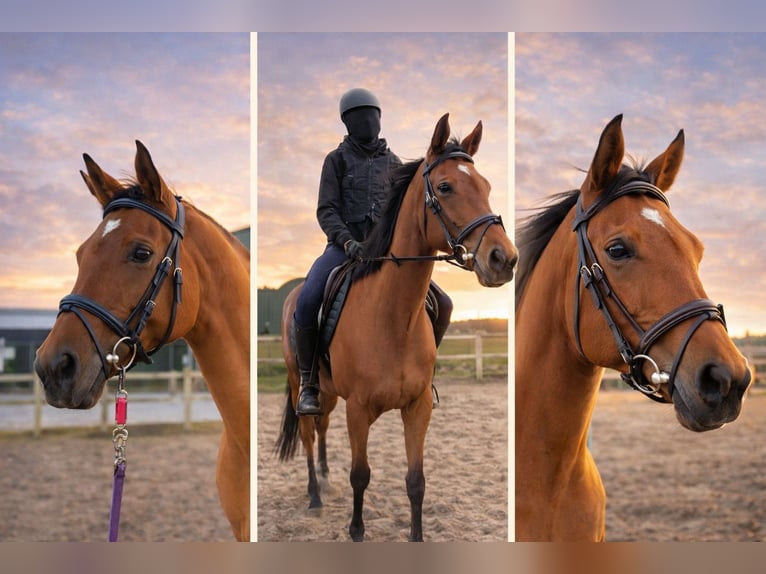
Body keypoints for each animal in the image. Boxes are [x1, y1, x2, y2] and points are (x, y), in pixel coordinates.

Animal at [275, 113, 517, 541]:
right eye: (445, 187)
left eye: (486, 186)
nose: (503, 259)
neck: (392, 319)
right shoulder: (358, 410)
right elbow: (360, 475)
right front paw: (356, 530)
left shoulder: (417, 408)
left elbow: (415, 482)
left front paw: (416, 534)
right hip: (299, 380)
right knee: (306, 431)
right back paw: (315, 495)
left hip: (329, 391)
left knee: (321, 427)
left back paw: (324, 476)